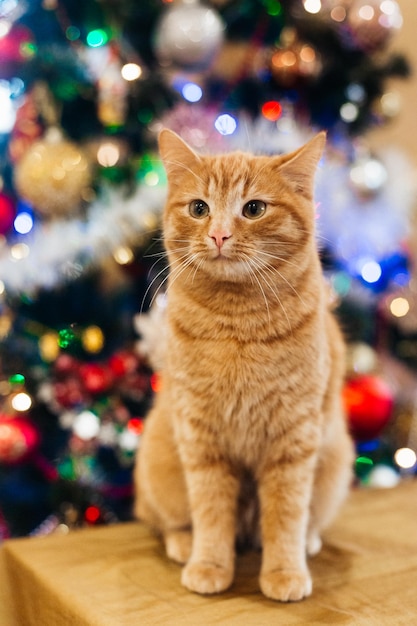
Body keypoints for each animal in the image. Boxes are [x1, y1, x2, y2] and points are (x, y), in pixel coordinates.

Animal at [135, 127, 352, 600]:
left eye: (253, 209)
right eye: (199, 208)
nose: (218, 235)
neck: (237, 325)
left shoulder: (293, 442)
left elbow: (286, 515)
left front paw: (285, 571)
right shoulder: (202, 440)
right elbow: (211, 512)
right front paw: (209, 565)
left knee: (305, 519)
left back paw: (308, 541)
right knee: (161, 519)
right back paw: (183, 543)